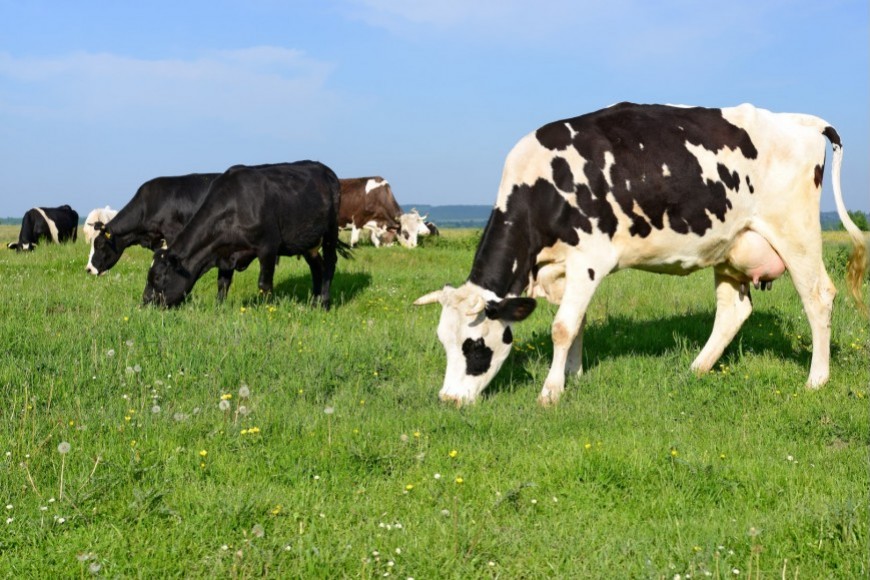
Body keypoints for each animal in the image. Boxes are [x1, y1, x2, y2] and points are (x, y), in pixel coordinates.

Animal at [145, 161, 346, 310]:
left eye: (158, 278)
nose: (145, 303)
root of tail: (325, 169)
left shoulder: (268, 246)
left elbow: (264, 284)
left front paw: (267, 310)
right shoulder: (224, 253)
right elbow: (222, 283)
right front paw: (219, 308)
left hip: (331, 231)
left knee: (329, 264)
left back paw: (325, 303)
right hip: (307, 240)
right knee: (317, 266)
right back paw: (314, 302)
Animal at [418, 102, 868, 406]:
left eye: (475, 347)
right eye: (443, 342)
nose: (448, 399)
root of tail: (800, 120)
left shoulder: (589, 258)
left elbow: (562, 326)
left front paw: (551, 391)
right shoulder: (567, 267)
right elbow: (577, 323)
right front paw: (574, 375)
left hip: (796, 232)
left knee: (817, 296)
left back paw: (816, 379)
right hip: (733, 246)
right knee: (733, 311)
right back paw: (695, 369)